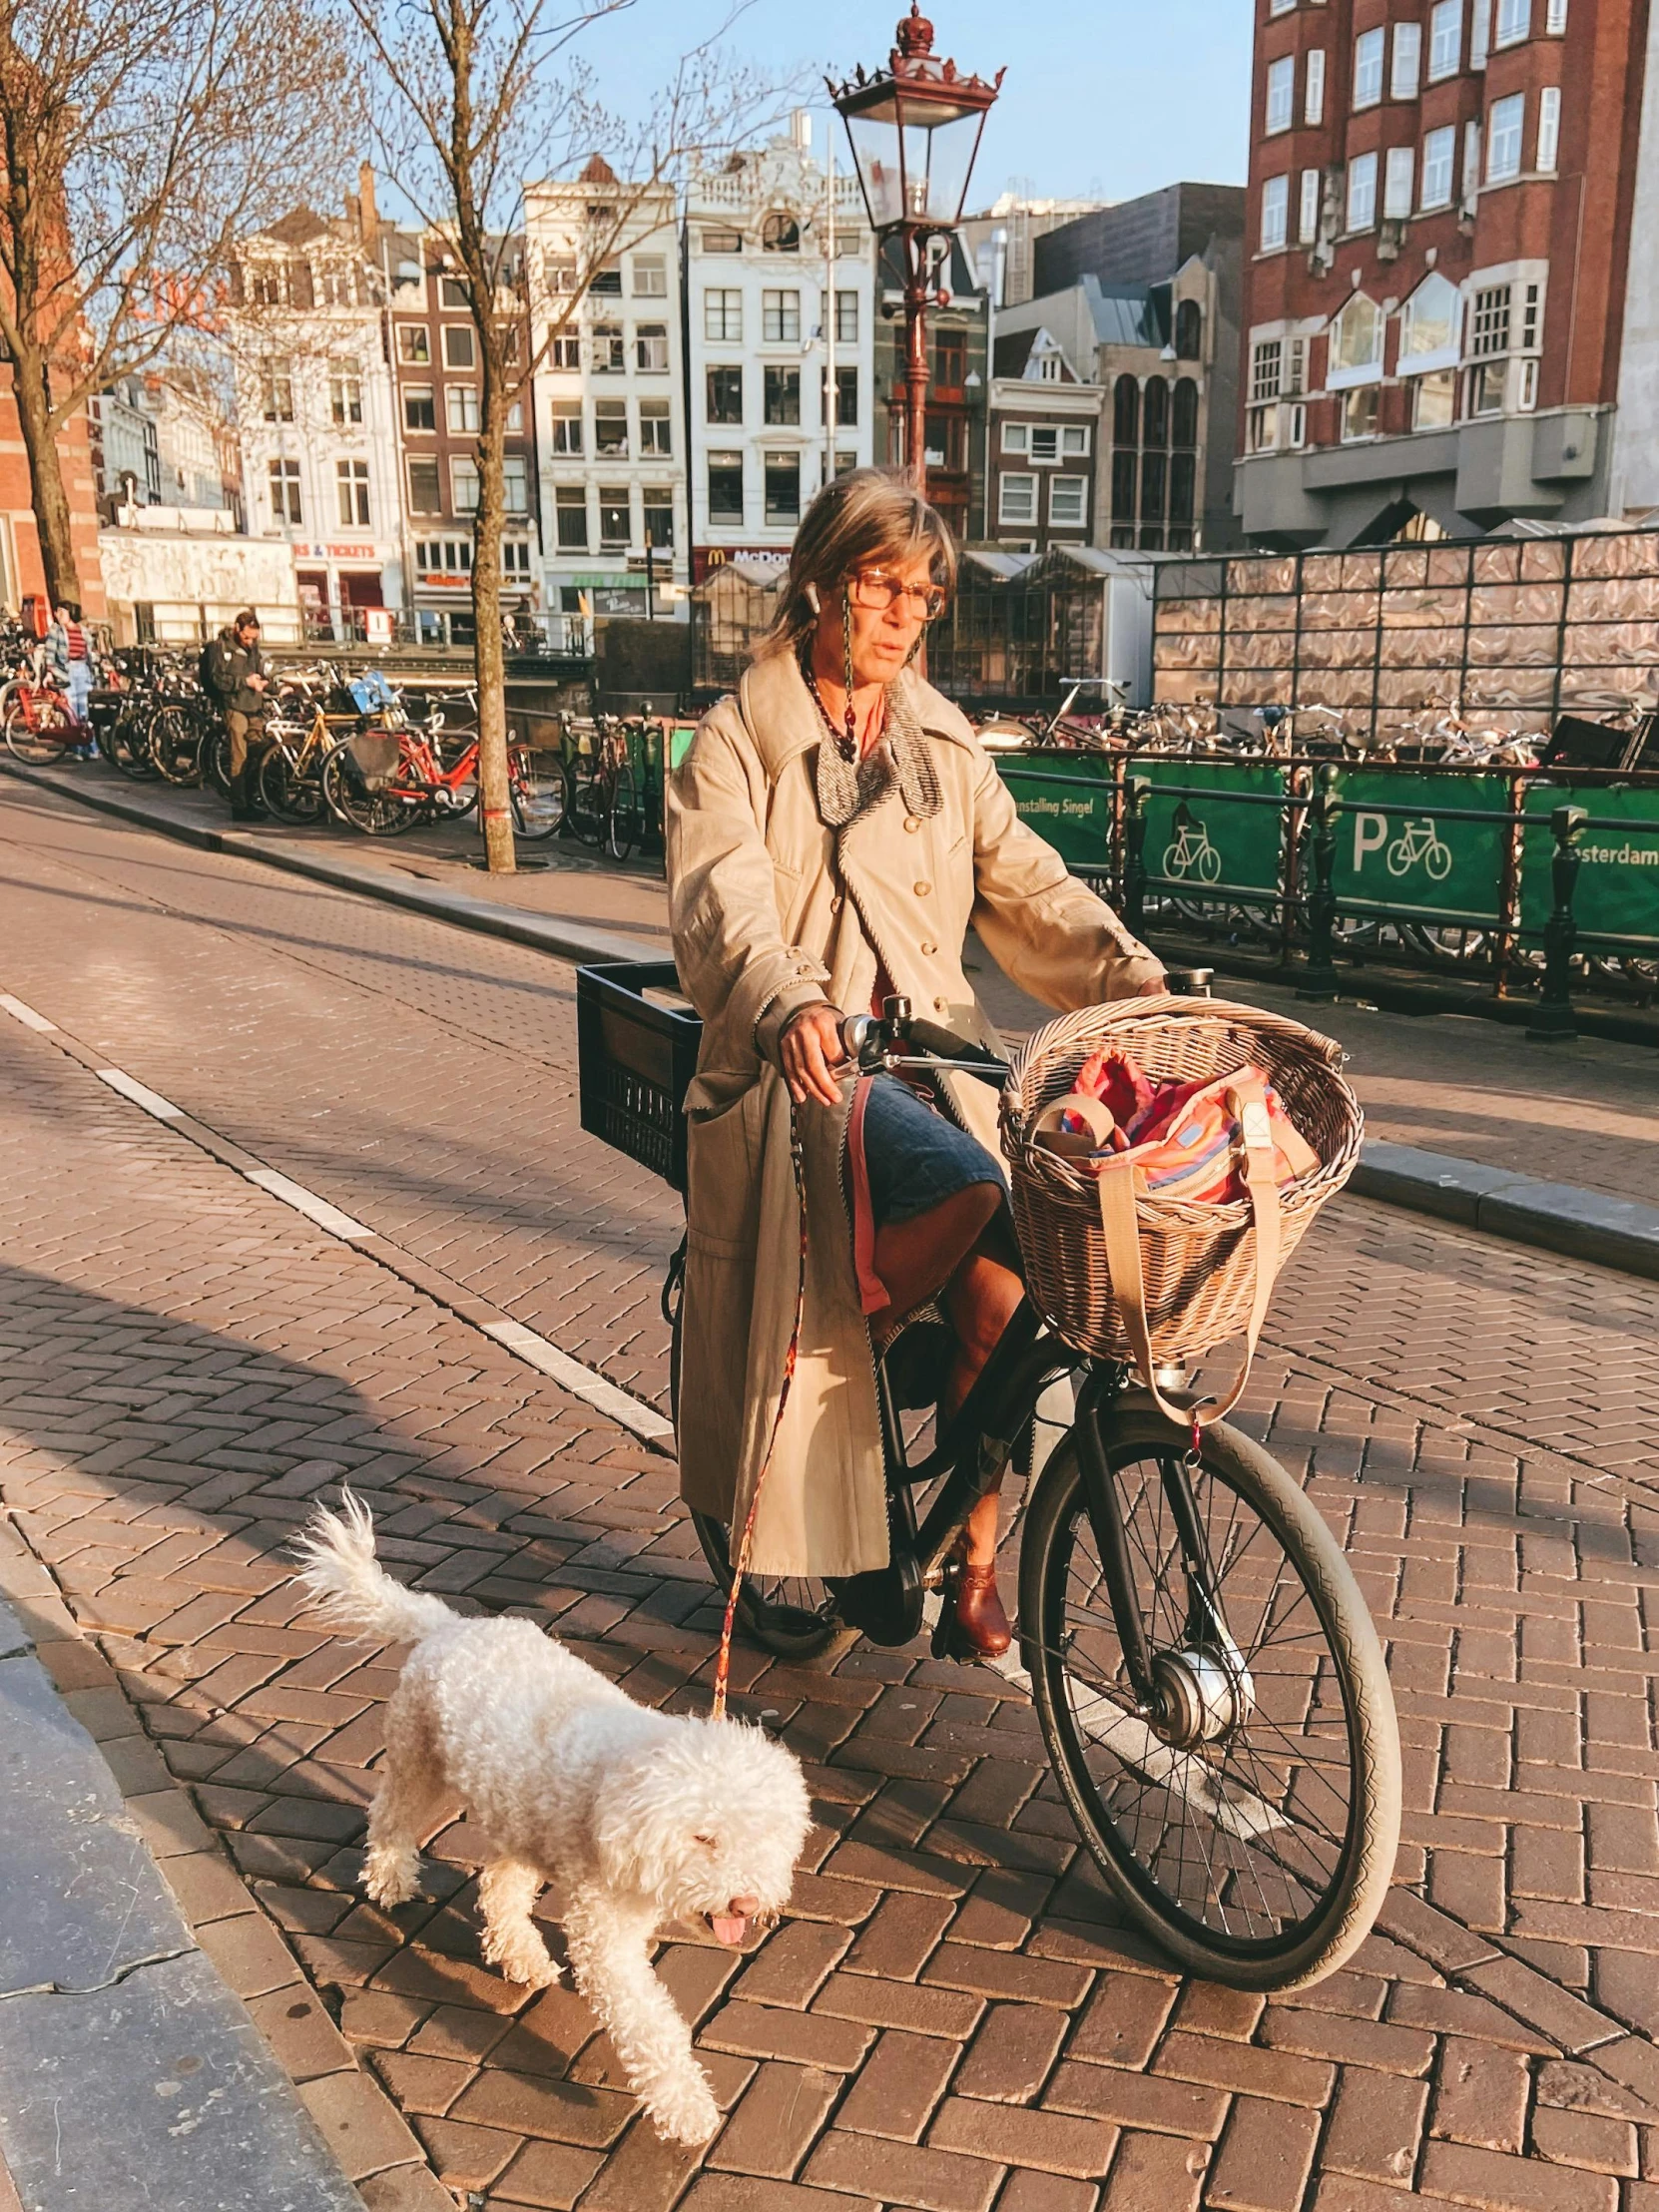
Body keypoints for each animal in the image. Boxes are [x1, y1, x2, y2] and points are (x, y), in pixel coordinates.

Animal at [302, 1486, 823, 2141]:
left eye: (764, 1840)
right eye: (704, 1838)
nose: (746, 1904)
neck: (630, 1780)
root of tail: (449, 1626)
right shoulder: (605, 1937)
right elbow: (650, 2026)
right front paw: (686, 2108)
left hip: (521, 1817)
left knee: (498, 1884)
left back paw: (520, 1955)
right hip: (420, 1762)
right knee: (390, 1818)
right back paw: (391, 1881)